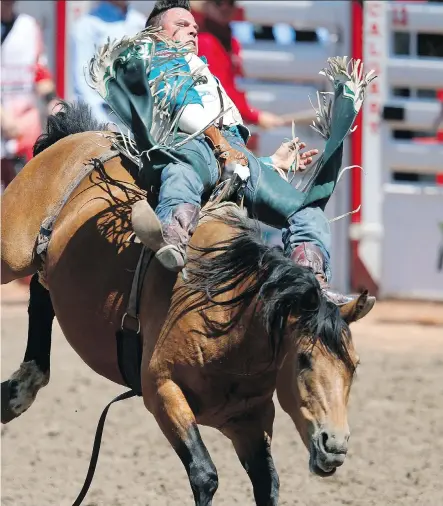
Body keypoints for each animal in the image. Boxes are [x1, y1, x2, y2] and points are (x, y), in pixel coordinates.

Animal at [1, 105, 366, 504]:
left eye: (354, 366)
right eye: (303, 359)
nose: (335, 446)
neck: (228, 318)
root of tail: (76, 137)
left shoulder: (249, 420)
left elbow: (267, 483)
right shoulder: (163, 392)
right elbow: (205, 475)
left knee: (41, 293)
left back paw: (18, 390)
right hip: (10, 252)